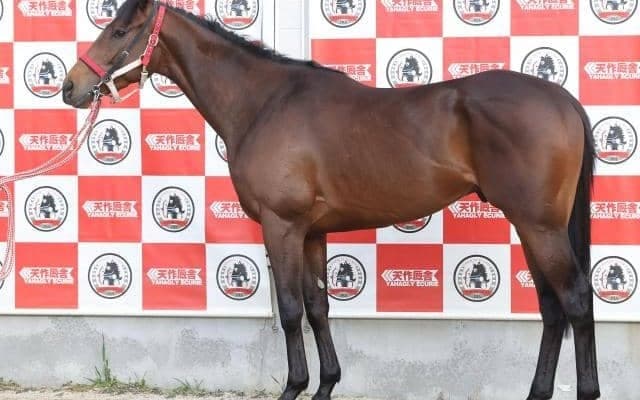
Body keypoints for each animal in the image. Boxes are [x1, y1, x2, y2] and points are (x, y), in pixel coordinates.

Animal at [61, 0, 600, 399]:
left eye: (119, 30)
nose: (70, 86)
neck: (264, 103)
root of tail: (564, 100)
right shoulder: (312, 231)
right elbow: (319, 306)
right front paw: (325, 385)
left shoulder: (281, 225)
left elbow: (290, 308)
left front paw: (293, 387)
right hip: (532, 227)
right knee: (552, 308)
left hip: (539, 226)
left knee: (574, 300)